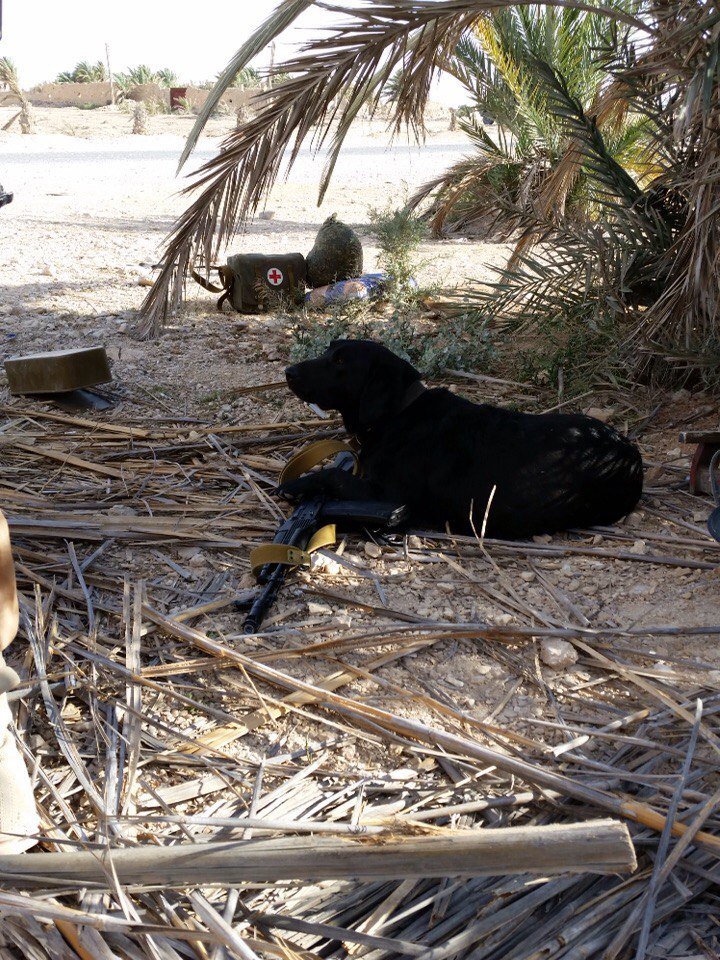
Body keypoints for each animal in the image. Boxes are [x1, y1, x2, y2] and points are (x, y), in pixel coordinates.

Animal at [284, 342, 644, 540]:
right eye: (329, 349)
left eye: (340, 361)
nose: (288, 371)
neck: (399, 413)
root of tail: (629, 453)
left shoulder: (388, 496)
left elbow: (333, 474)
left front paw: (297, 484)